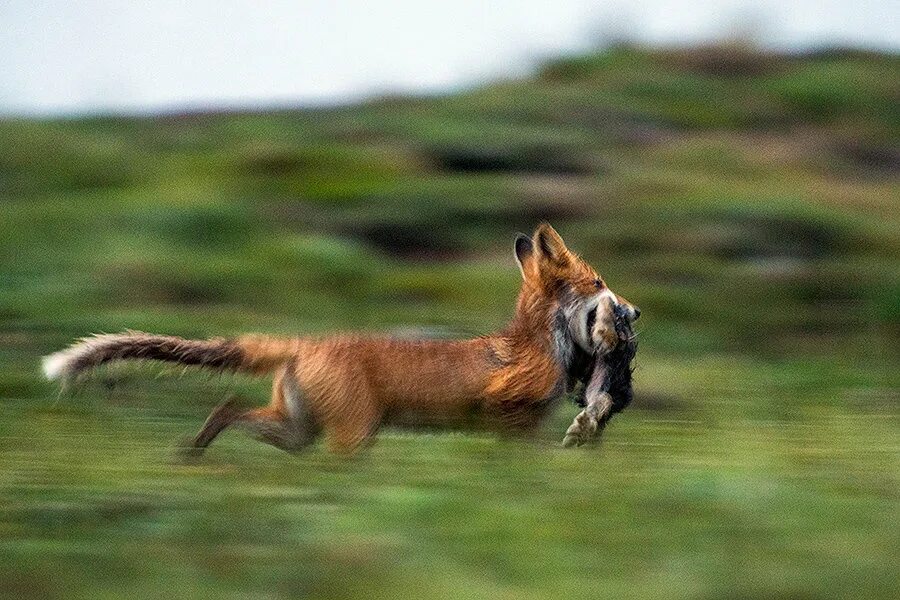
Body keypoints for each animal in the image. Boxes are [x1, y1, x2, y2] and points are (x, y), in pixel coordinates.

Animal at [42, 224, 640, 454]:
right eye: (599, 284)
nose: (633, 312)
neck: (542, 346)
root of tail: (306, 342)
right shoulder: (507, 414)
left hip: (297, 430)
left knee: (231, 405)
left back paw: (194, 450)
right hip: (352, 433)